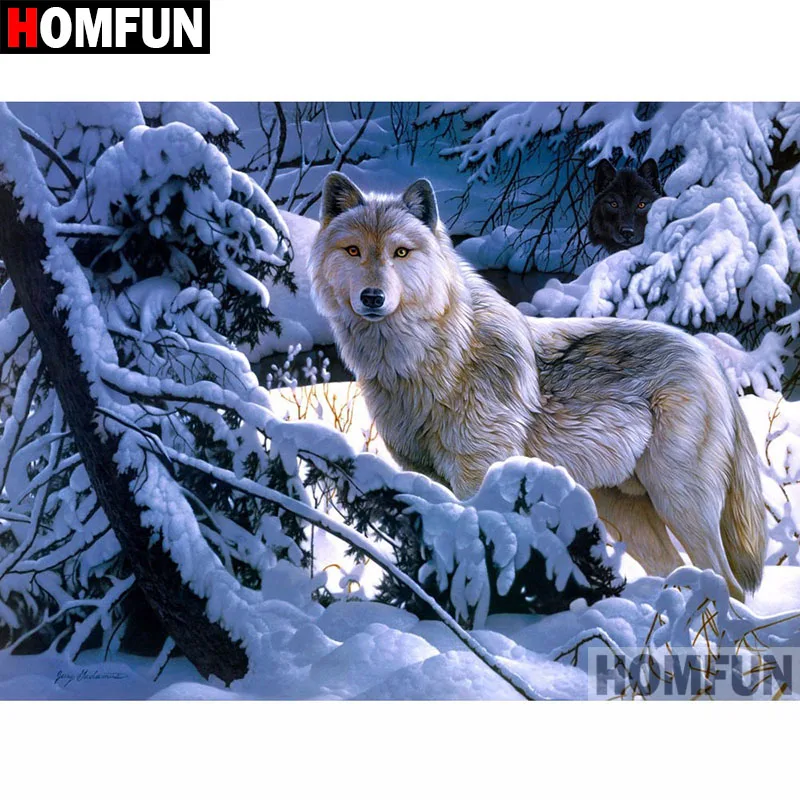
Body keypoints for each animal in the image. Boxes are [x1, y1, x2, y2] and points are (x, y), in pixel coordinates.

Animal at [307, 172, 767, 601]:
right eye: (353, 250)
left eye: (400, 252)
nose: (372, 297)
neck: (429, 361)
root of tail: (711, 360)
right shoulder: (424, 477)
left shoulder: (478, 476)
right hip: (625, 513)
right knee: (677, 572)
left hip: (679, 503)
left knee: (728, 584)